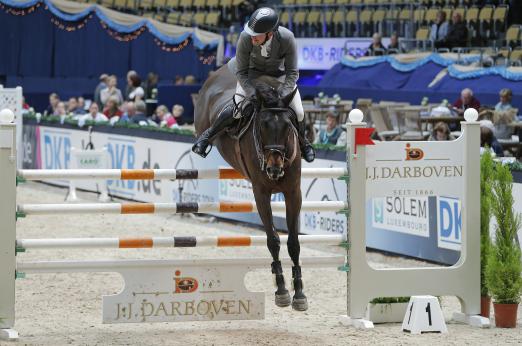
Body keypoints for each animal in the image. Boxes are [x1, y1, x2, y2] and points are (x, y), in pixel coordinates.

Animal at [194, 65, 306, 310]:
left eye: (288, 126)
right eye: (262, 126)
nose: (274, 169)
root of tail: (219, 71)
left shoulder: (294, 193)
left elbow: (293, 243)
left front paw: (299, 293)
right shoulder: (261, 193)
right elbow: (273, 241)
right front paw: (282, 290)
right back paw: (203, 141)